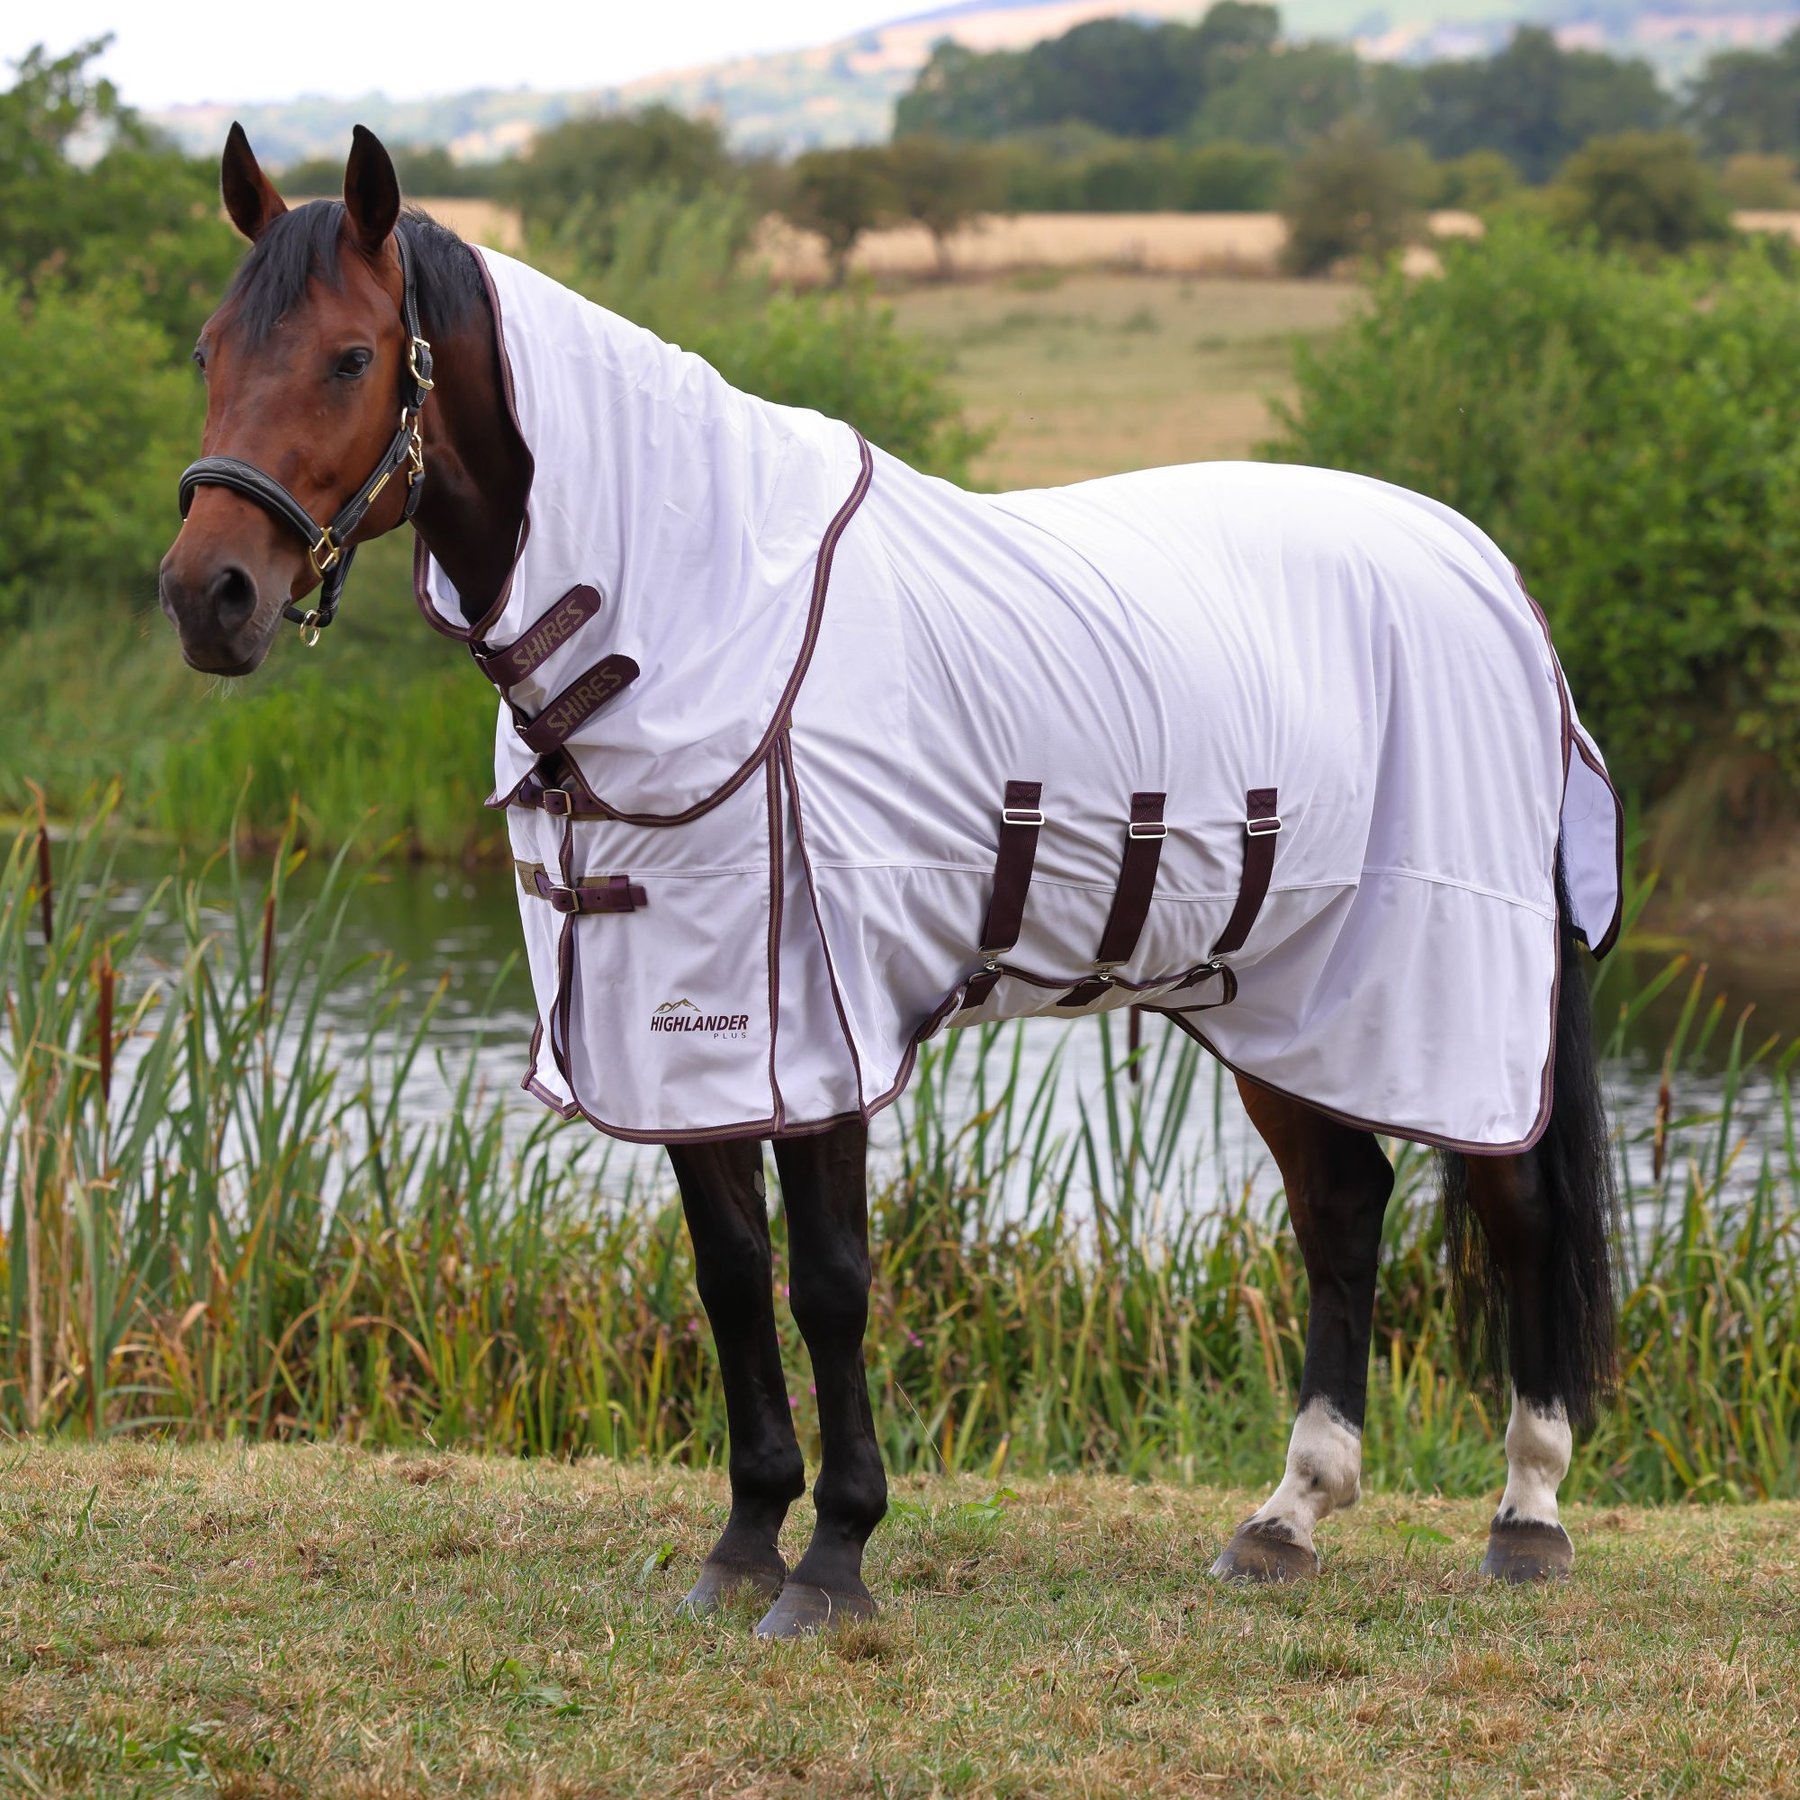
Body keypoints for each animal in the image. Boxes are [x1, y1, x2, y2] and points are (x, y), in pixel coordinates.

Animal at [159, 124, 1621, 1638]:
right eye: (209, 346)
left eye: (347, 356)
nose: (209, 596)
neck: (684, 606)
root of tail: (1490, 576)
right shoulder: (683, 1035)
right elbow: (731, 1279)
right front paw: (744, 1541)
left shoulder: (820, 1020)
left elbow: (831, 1285)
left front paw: (835, 1557)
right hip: (1285, 998)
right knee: (1343, 1211)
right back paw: (1289, 1516)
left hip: (1451, 990)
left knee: (1517, 1211)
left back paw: (1528, 1511)